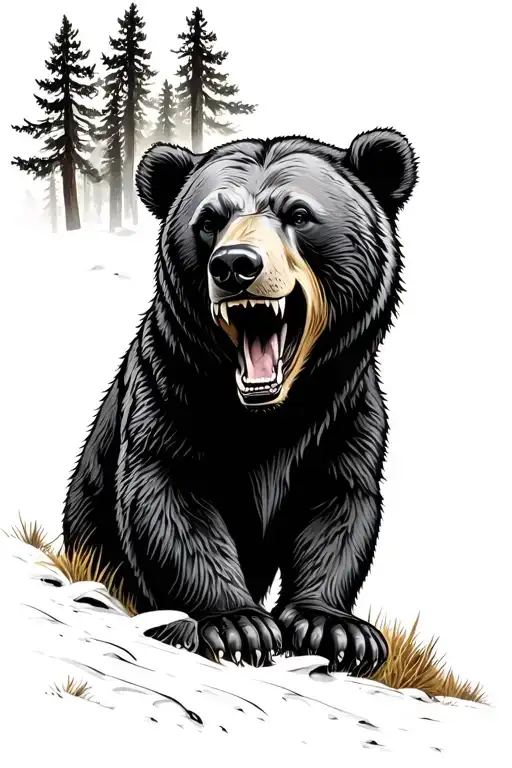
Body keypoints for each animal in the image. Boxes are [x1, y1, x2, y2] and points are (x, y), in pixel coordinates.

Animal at [63, 128, 418, 676]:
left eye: (298, 213)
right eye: (210, 219)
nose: (235, 264)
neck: (265, 415)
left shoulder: (343, 415)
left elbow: (338, 507)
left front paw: (336, 629)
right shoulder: (171, 393)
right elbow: (168, 499)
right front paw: (236, 625)